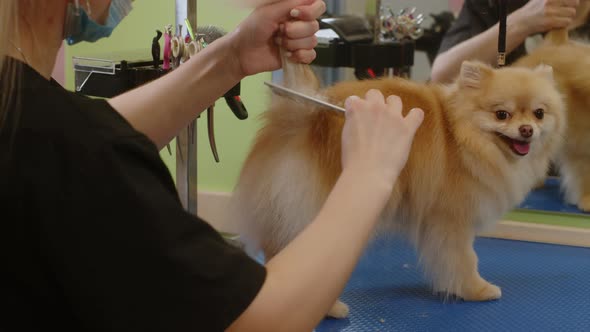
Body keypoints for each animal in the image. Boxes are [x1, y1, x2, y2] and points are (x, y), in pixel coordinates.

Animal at [230, 53, 564, 318]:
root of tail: (302, 115)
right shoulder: (451, 220)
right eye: (501, 114)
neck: (462, 136)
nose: (527, 130)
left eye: (539, 113)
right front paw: (475, 289)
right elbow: (463, 259)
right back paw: (330, 309)